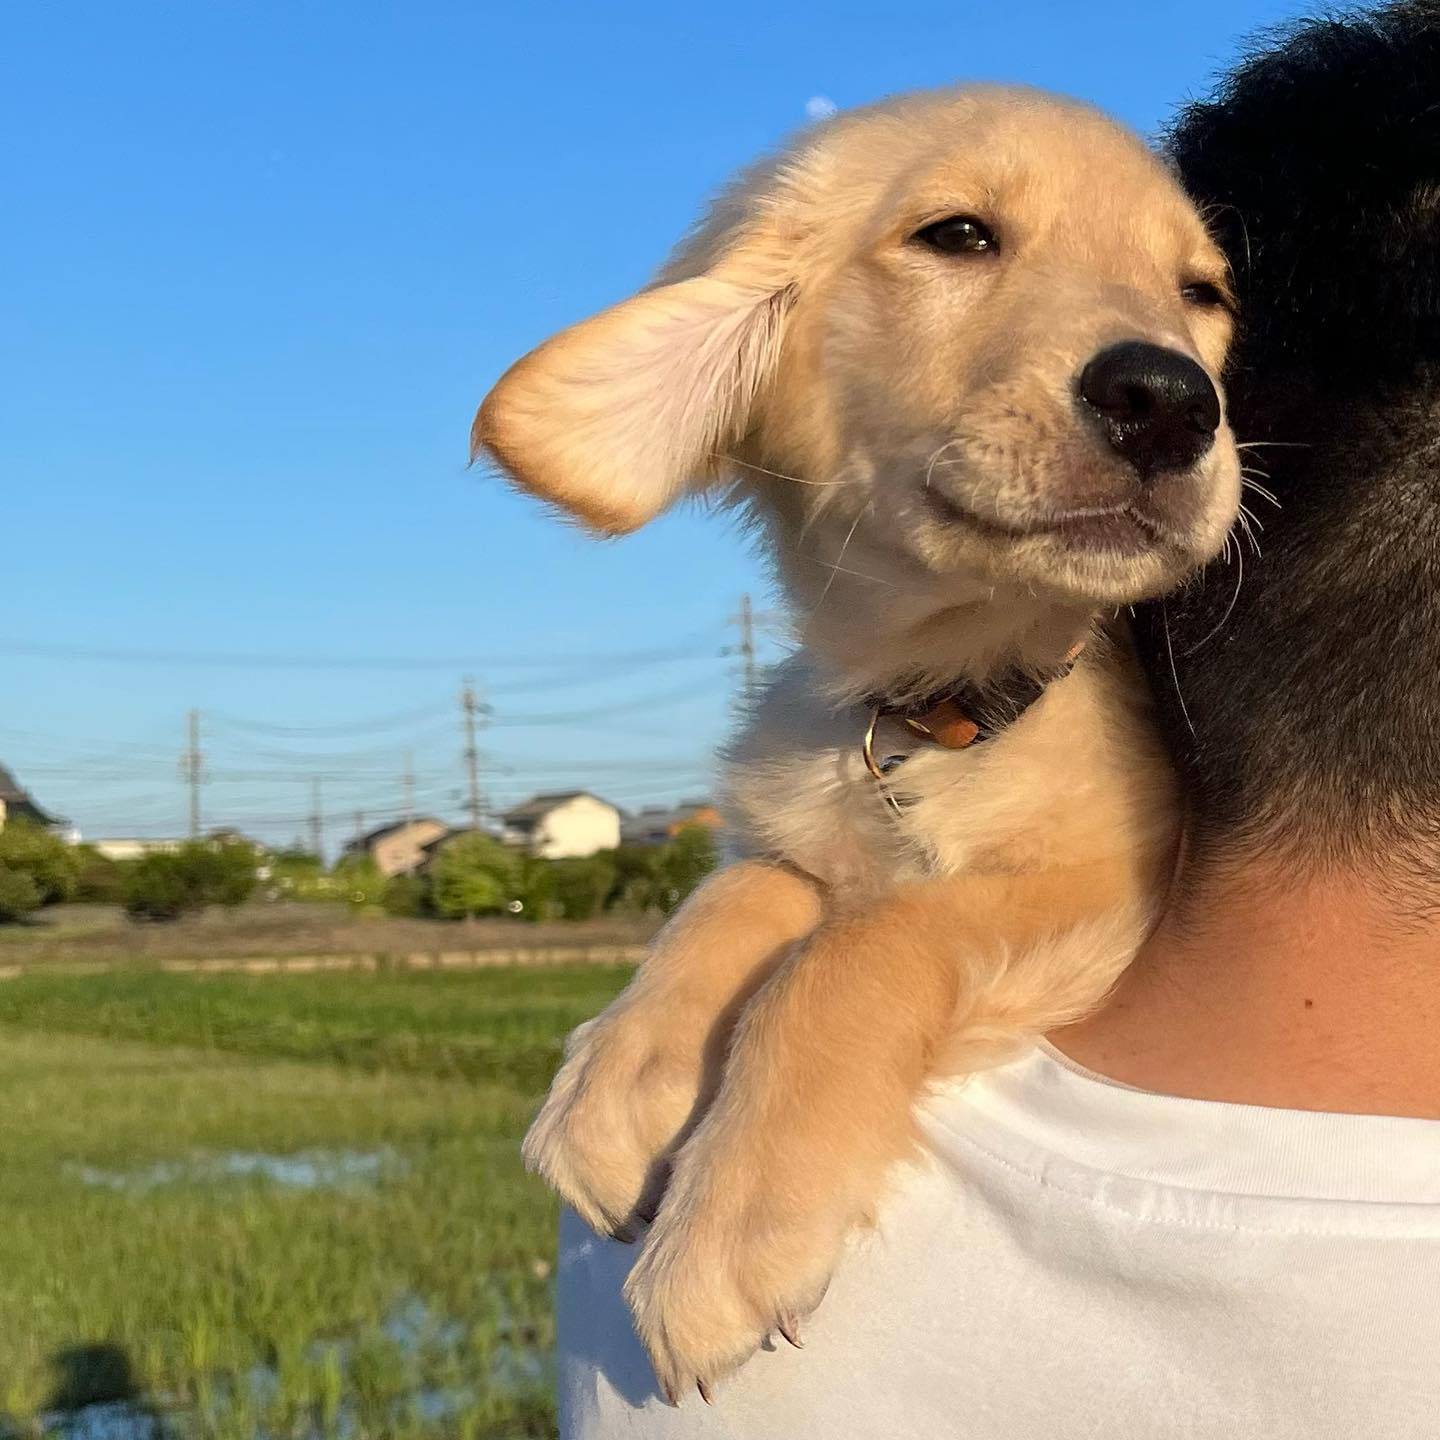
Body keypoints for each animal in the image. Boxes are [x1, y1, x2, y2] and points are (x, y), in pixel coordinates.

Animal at [478, 84, 1244, 1399]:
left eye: (1201, 291)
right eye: (959, 235)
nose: (1172, 402)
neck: (939, 706)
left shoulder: (1118, 887)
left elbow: (862, 943)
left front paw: (726, 1223)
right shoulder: (803, 819)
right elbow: (741, 893)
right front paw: (621, 1075)